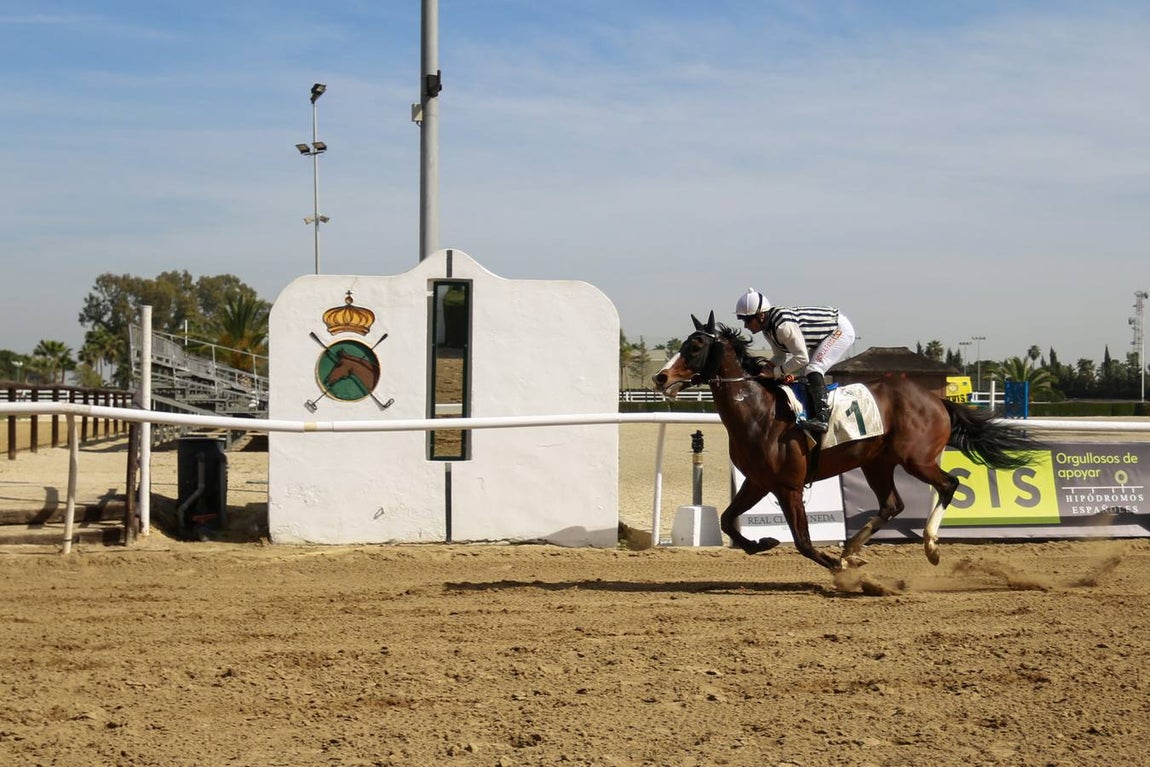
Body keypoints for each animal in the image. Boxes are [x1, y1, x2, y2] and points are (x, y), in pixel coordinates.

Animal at [652, 312, 1045, 572]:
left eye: (695, 345)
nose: (661, 377)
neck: (759, 412)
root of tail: (937, 401)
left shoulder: (788, 485)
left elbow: (803, 541)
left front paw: (832, 564)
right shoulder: (759, 480)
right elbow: (728, 521)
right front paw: (763, 542)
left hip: (916, 459)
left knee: (949, 484)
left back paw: (929, 546)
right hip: (876, 462)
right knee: (892, 504)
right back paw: (852, 549)